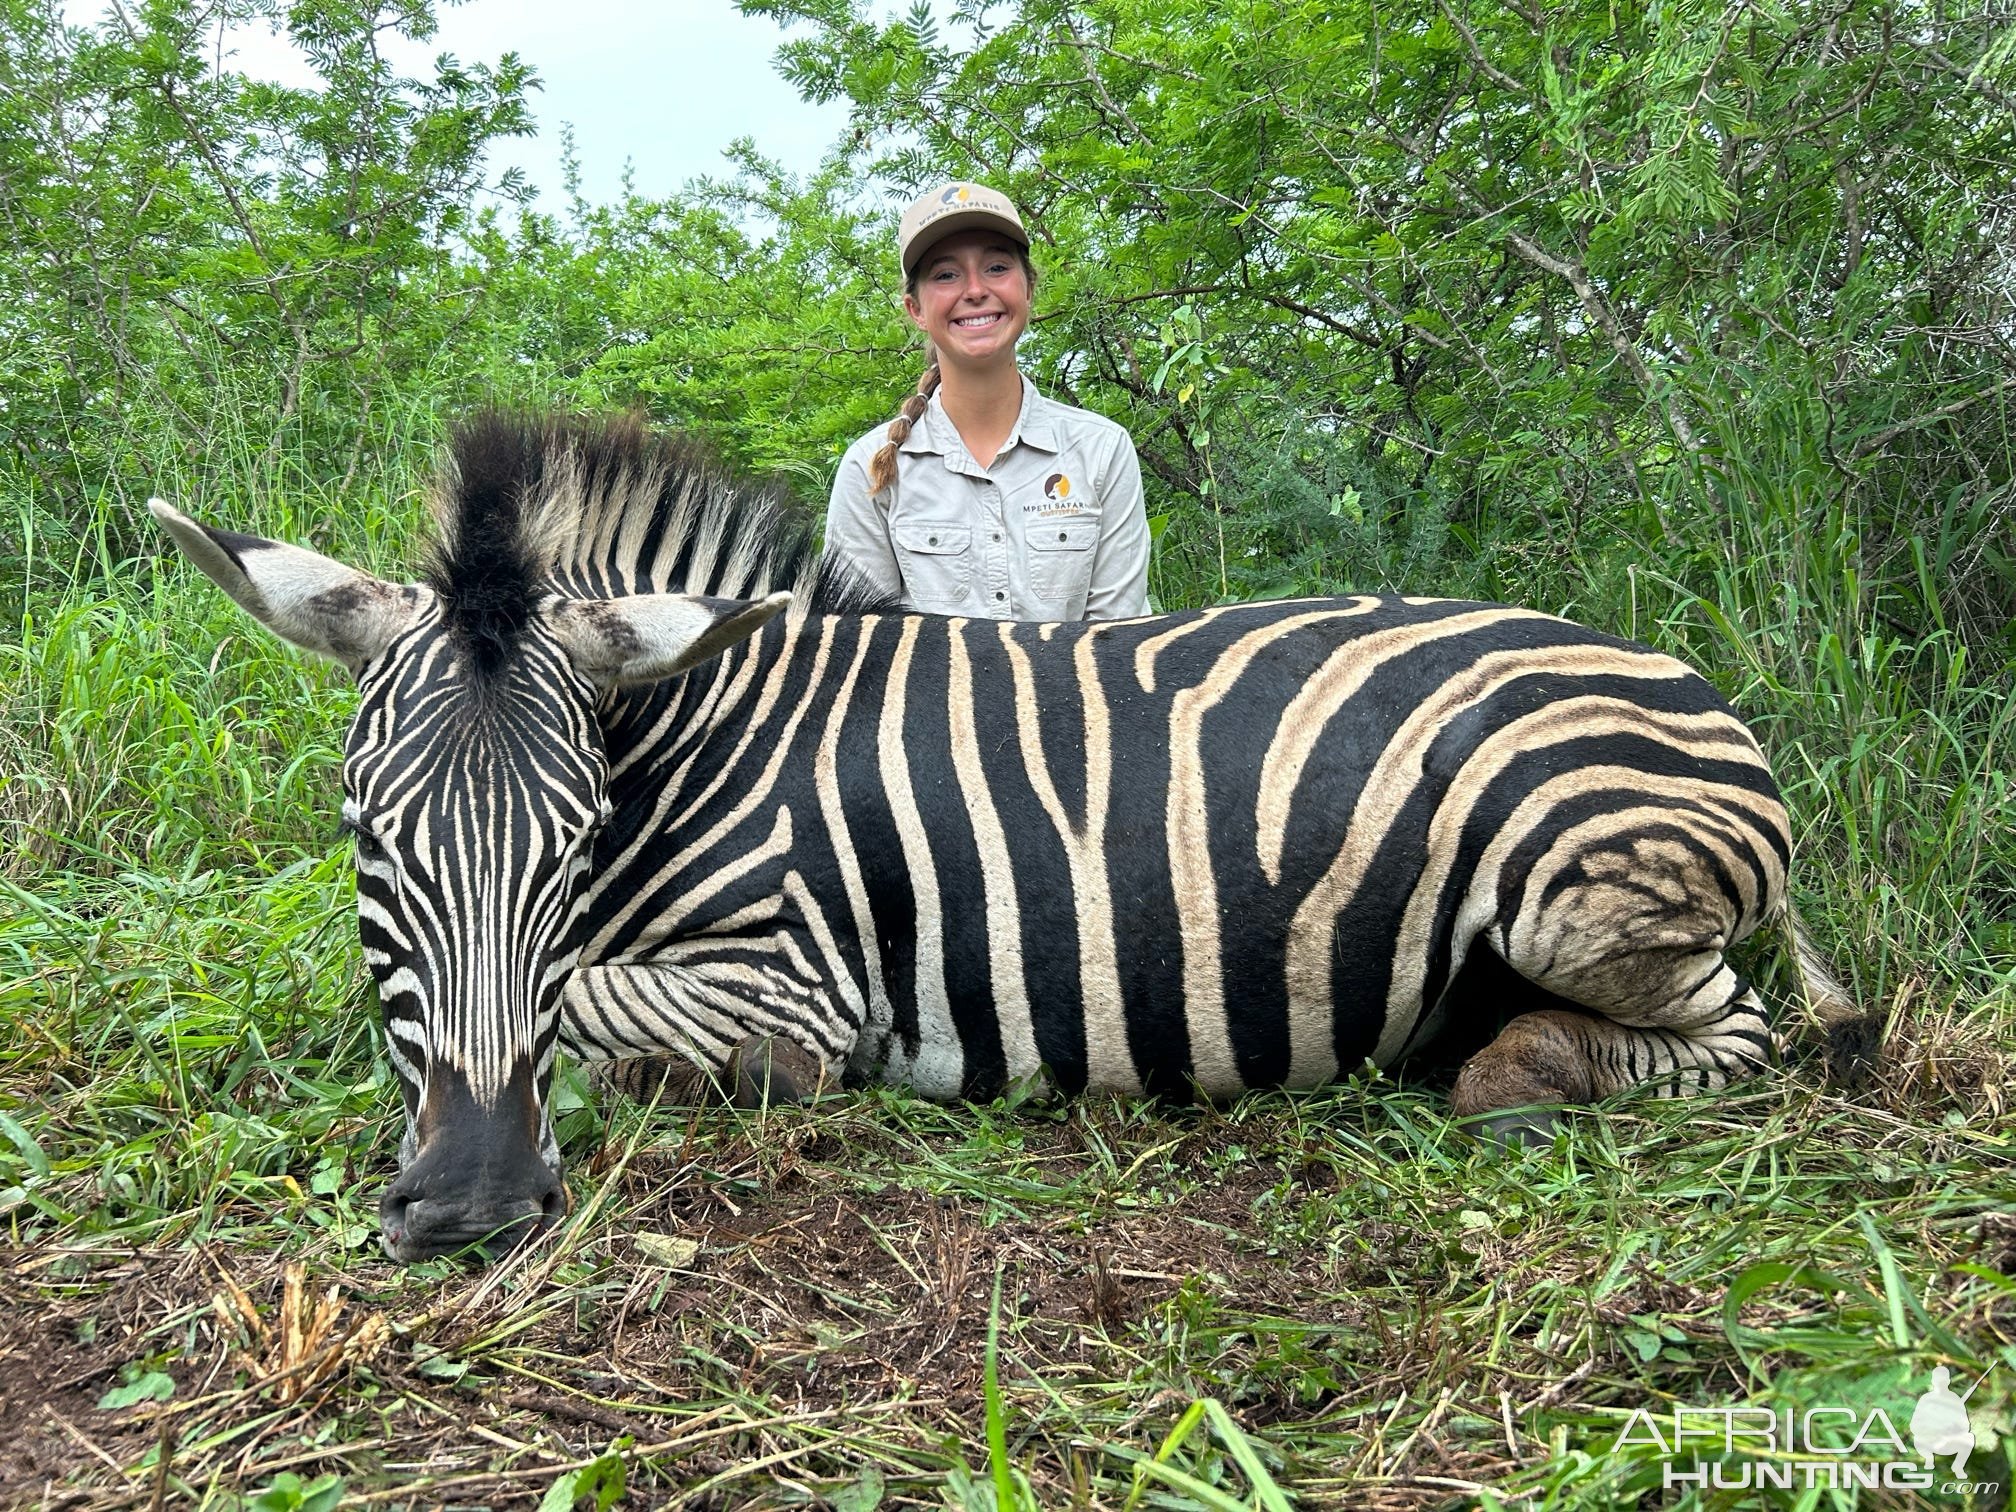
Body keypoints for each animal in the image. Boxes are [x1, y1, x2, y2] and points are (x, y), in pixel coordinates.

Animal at [161, 415, 1814, 1266]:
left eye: (575, 840)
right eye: (368, 837)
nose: (475, 1203)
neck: (710, 747)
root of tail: (1685, 680)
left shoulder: (798, 987)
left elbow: (586, 1009)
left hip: (1577, 894)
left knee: (1748, 1038)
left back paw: (1517, 1069)